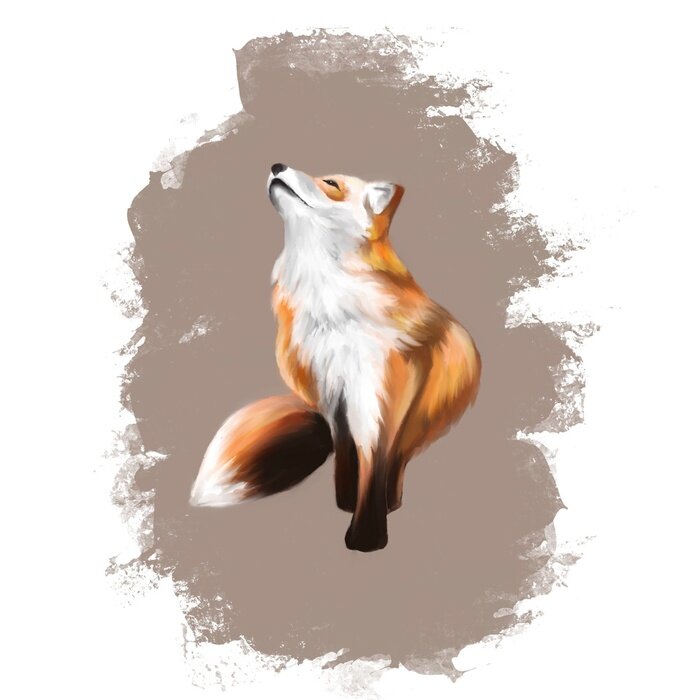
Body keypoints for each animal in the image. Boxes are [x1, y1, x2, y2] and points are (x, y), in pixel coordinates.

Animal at [190, 163, 481, 552]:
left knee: (396, 464)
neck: (330, 311)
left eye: (331, 184)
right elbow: (346, 456)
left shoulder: (376, 395)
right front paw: (345, 501)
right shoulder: (331, 389)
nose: (277, 166)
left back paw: (391, 501)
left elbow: (373, 465)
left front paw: (366, 538)